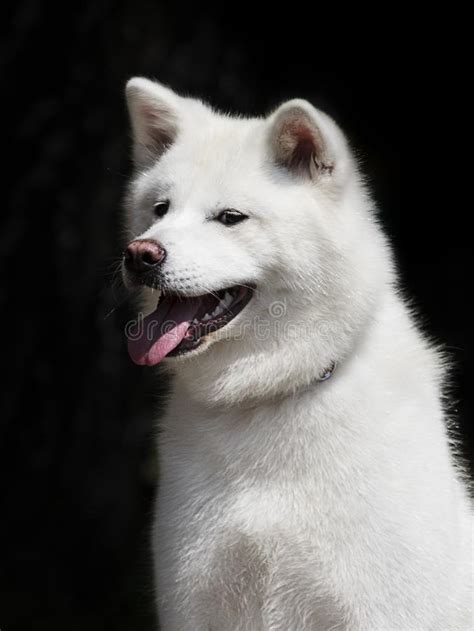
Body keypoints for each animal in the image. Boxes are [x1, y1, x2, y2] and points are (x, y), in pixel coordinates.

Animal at [121, 79, 470, 631]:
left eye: (230, 218)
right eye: (160, 210)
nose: (140, 254)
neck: (271, 393)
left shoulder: (382, 608)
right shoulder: (195, 601)